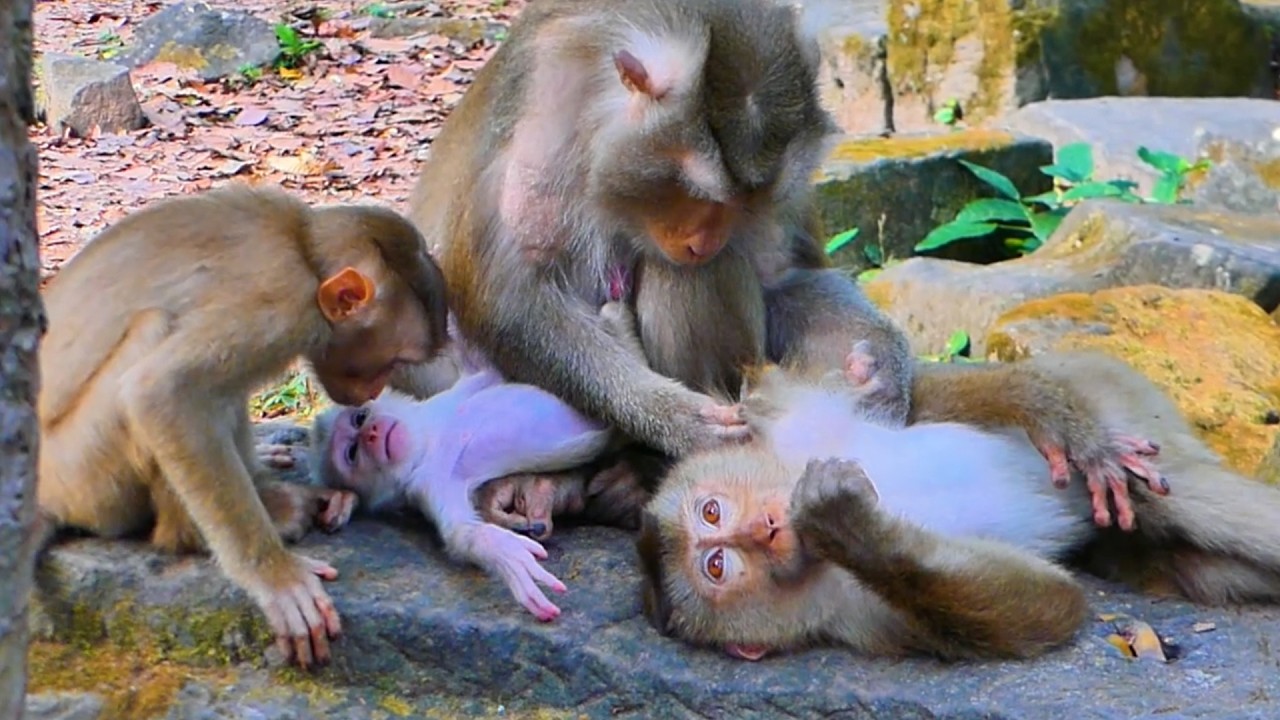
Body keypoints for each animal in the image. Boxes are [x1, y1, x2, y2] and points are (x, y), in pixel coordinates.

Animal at [36, 184, 449, 669]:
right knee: (156, 335)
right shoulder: (283, 309)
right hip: (84, 476)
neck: (304, 251)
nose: (374, 391)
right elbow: (164, 391)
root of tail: (42, 496)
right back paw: (196, 532)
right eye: (394, 361)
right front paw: (275, 577)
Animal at [635, 337, 1280, 662]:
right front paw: (851, 529)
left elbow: (911, 399)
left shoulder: (785, 424)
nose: (764, 529)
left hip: (1118, 395)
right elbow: (1049, 604)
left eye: (712, 512)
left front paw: (1055, 418)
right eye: (718, 564)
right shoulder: (852, 616)